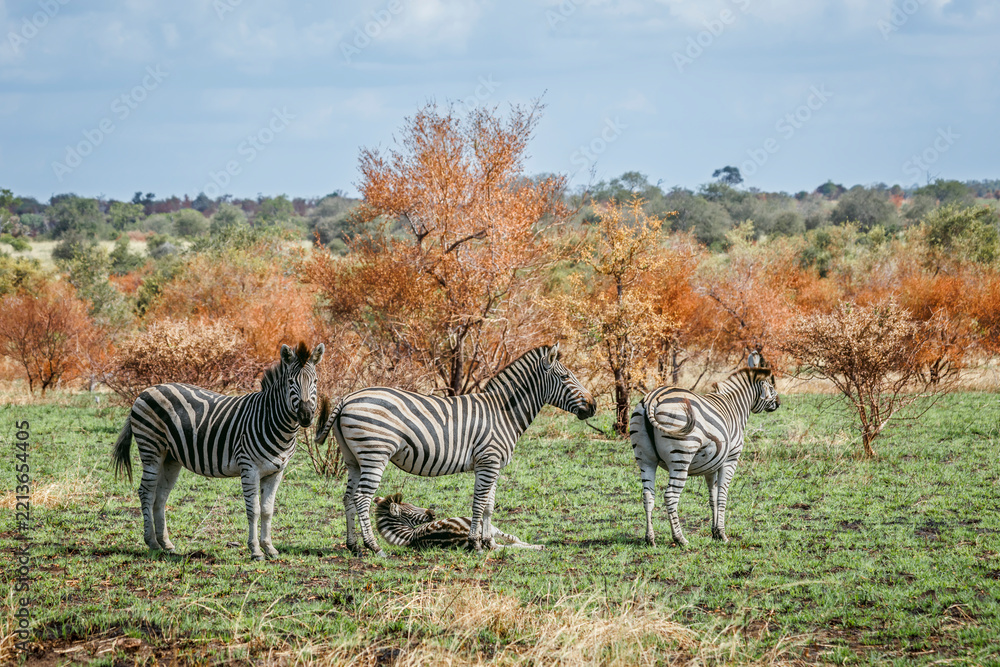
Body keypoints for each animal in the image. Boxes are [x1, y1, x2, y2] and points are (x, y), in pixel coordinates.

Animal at [112, 342, 325, 561]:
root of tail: (147, 390)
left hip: (171, 458)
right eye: (291, 382)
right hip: (151, 450)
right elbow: (254, 510)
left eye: (315, 381)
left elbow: (267, 510)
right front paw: (256, 550)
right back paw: (152, 543)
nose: (306, 415)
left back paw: (166, 544)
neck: (272, 421)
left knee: (160, 496)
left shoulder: (276, 472)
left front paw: (269, 548)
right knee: (145, 492)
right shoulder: (249, 468)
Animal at [374, 494, 543, 550]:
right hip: (486, 526)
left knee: (508, 544)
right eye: (411, 510)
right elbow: (512, 539)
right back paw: (538, 547)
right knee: (511, 541)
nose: (432, 512)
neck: (411, 536)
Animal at [629, 353, 779, 547]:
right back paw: (680, 538)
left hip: (645, 459)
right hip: (681, 457)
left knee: (648, 496)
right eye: (771, 387)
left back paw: (650, 539)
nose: (779, 403)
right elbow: (722, 496)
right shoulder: (730, 459)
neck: (736, 406)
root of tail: (652, 399)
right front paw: (722, 534)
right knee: (670, 496)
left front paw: (714, 532)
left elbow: (712, 498)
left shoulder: (712, 464)